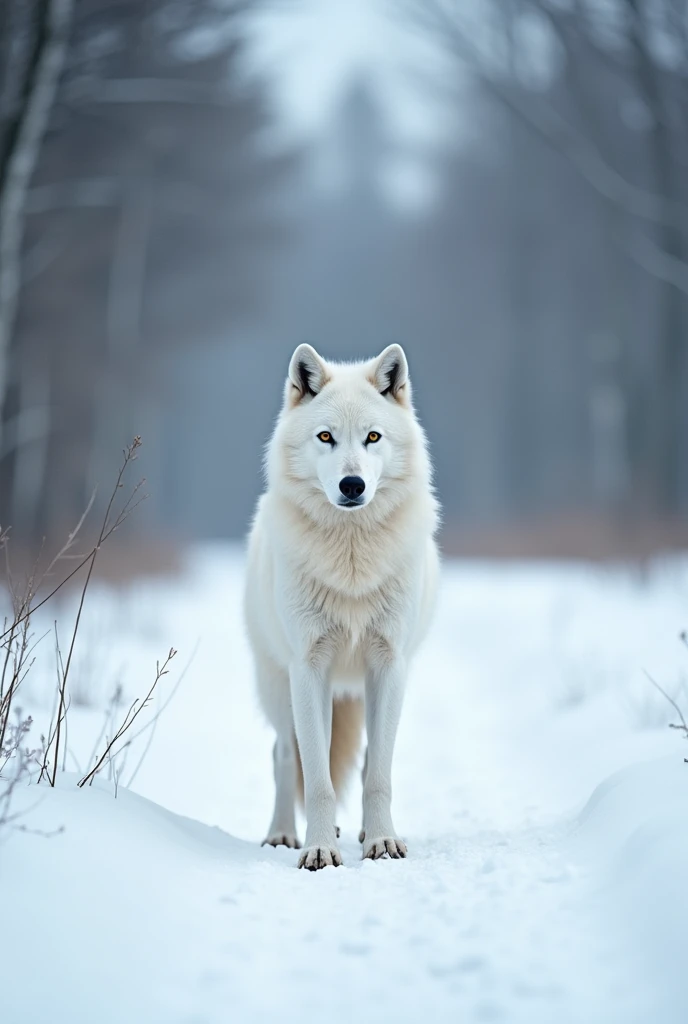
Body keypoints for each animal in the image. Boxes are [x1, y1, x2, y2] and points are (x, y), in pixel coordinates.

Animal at [244, 344, 438, 872]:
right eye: (326, 437)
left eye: (372, 437)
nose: (352, 485)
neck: (351, 559)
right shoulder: (309, 667)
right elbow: (316, 778)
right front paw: (318, 849)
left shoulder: (389, 664)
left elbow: (379, 775)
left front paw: (382, 843)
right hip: (280, 687)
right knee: (282, 754)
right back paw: (283, 834)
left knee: (369, 758)